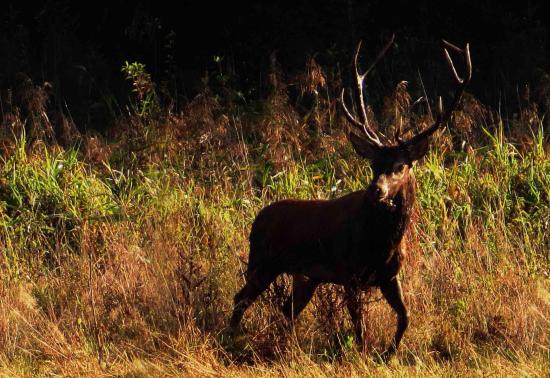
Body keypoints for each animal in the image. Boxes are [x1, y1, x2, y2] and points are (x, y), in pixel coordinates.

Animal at [231, 37, 472, 362]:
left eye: (400, 166)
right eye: (373, 164)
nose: (376, 190)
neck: (382, 244)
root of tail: (257, 220)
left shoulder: (388, 276)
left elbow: (405, 316)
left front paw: (389, 354)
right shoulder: (349, 273)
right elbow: (359, 328)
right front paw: (364, 355)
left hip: (304, 275)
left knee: (285, 309)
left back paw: (287, 347)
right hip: (264, 260)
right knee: (241, 299)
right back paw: (232, 339)